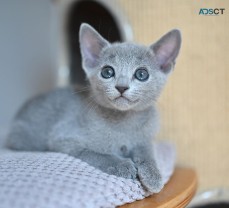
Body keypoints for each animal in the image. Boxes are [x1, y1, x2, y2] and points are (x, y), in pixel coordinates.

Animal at [6, 23, 181, 193]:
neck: (123, 121)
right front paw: (122, 165)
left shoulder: (145, 139)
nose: (122, 87)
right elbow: (97, 153)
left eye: (142, 74)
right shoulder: (64, 138)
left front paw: (153, 175)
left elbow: (147, 153)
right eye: (107, 72)